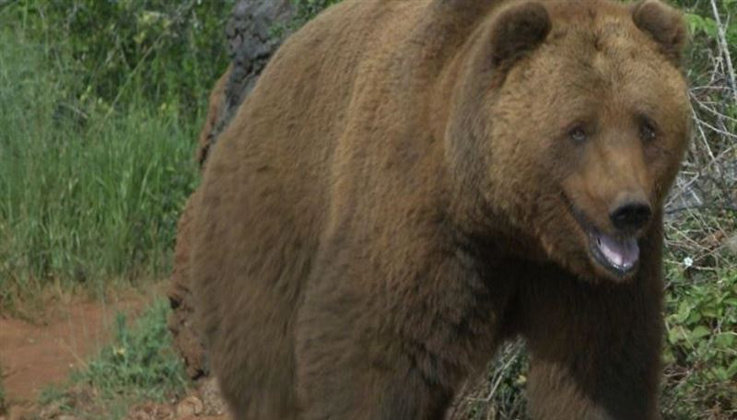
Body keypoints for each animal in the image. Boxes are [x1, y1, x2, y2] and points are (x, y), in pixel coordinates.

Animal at [188, 0, 688, 416]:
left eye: (647, 125)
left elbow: (599, 365)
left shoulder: (583, 281)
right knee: (267, 369)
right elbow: (373, 358)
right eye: (578, 129)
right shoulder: (418, 220)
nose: (629, 209)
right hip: (263, 235)